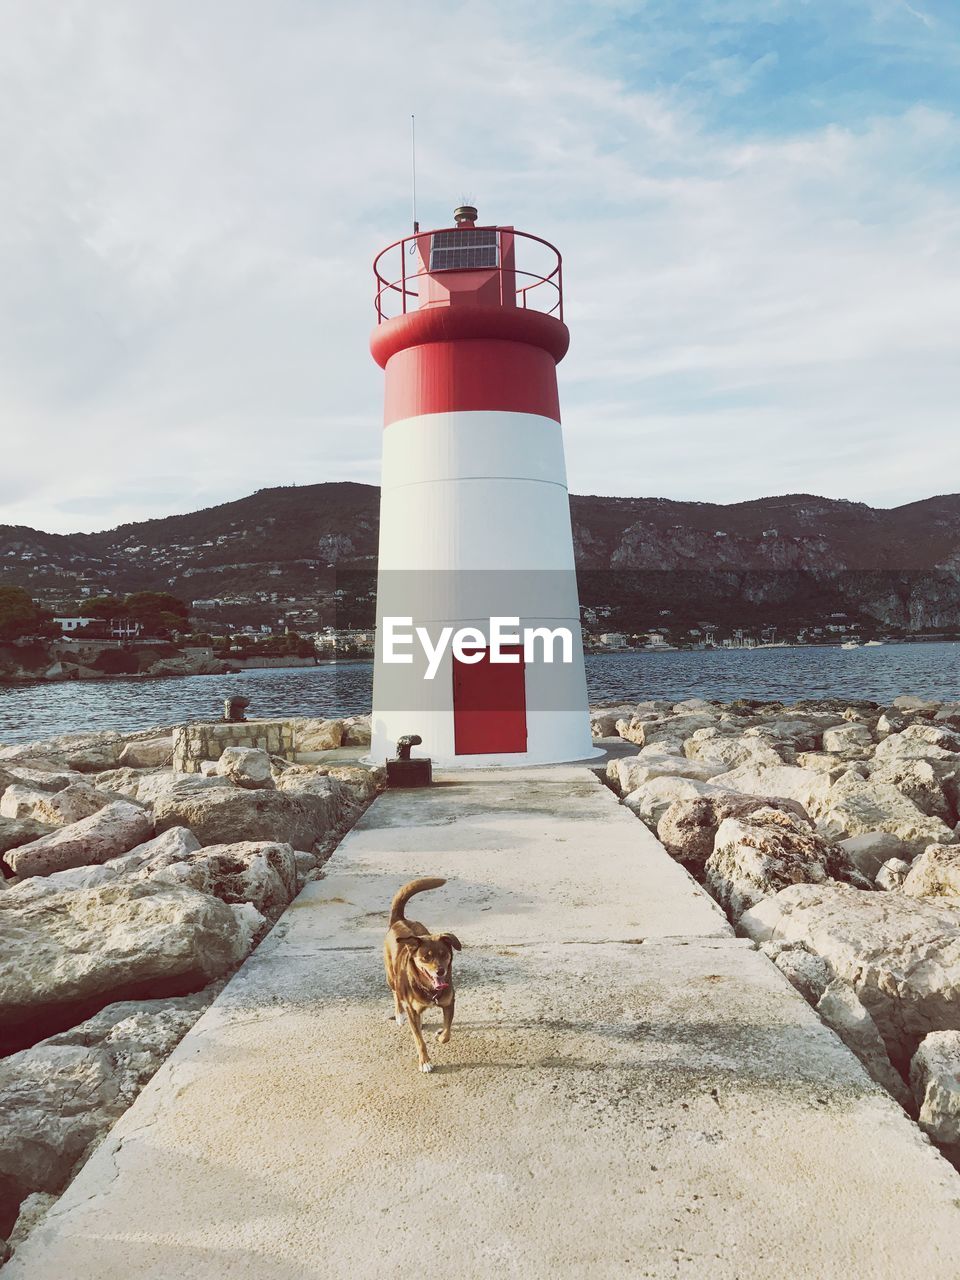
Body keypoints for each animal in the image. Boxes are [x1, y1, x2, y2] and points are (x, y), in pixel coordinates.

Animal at [384, 880, 463, 1070]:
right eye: (426, 957)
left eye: (444, 954)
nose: (440, 971)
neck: (430, 989)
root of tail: (400, 920)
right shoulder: (412, 1011)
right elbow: (419, 1040)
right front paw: (425, 1061)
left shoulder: (449, 1003)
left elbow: (447, 1030)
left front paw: (441, 1035)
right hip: (391, 978)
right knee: (396, 994)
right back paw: (399, 1014)